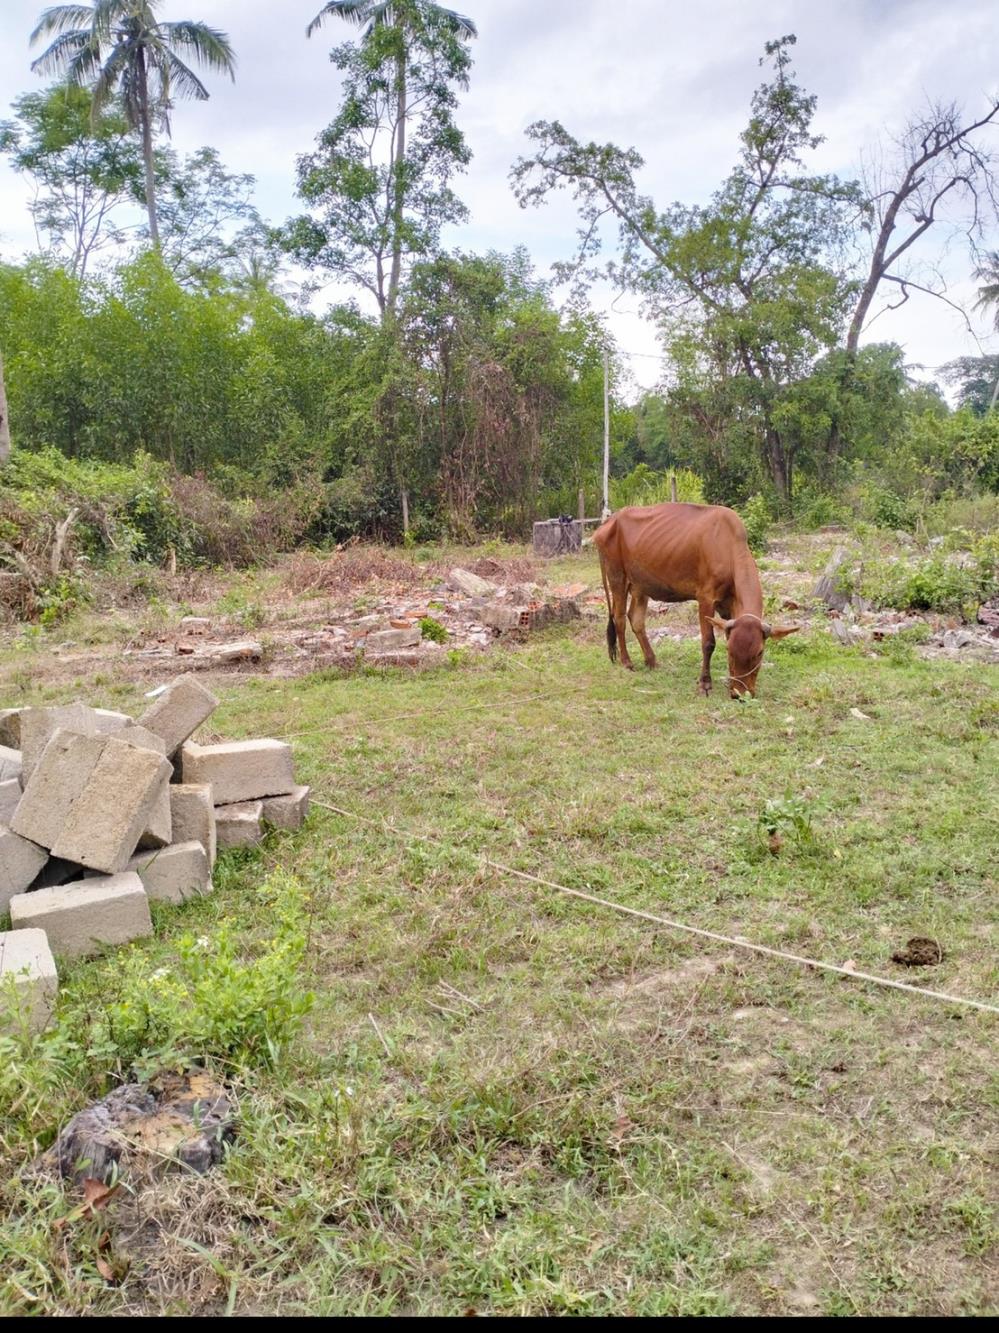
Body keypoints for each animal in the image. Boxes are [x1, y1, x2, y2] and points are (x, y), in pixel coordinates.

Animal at [592, 501, 794, 698]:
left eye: (760, 652)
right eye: (730, 650)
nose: (740, 693)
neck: (727, 546)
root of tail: (608, 522)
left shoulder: (729, 605)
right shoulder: (705, 598)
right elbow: (708, 643)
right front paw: (705, 684)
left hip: (640, 586)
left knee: (636, 619)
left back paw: (652, 661)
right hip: (617, 577)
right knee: (619, 618)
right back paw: (627, 662)